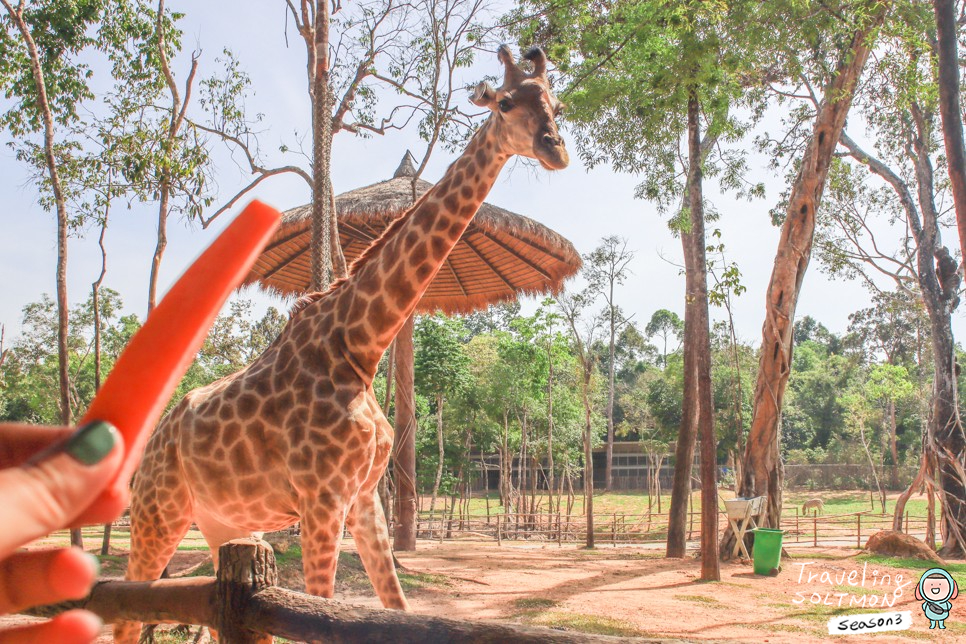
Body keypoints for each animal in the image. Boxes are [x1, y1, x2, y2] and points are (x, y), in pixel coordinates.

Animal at [115, 44, 568, 640]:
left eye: (556, 104)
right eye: (507, 102)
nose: (555, 148)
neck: (360, 343)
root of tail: (157, 437)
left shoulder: (363, 499)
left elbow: (398, 607)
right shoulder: (322, 498)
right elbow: (320, 608)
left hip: (222, 523)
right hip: (157, 512)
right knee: (125, 611)